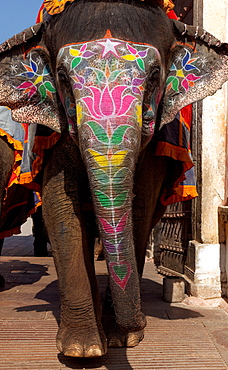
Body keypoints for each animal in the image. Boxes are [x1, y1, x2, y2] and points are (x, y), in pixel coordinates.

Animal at [0, 0, 227, 358]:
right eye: (61, 77)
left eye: (155, 76)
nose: (139, 322)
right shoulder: (52, 135)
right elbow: (60, 207)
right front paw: (83, 349)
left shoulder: (155, 143)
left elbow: (140, 208)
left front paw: (123, 339)